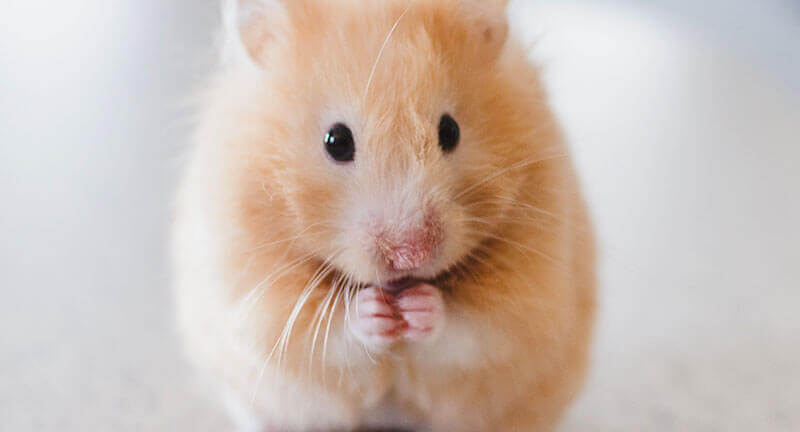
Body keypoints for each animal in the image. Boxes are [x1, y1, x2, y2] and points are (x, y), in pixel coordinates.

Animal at [173, 0, 595, 431]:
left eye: (450, 131)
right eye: (336, 141)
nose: (411, 256)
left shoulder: (527, 296)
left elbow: (469, 328)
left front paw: (420, 306)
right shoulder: (257, 296)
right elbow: (326, 334)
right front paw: (374, 312)